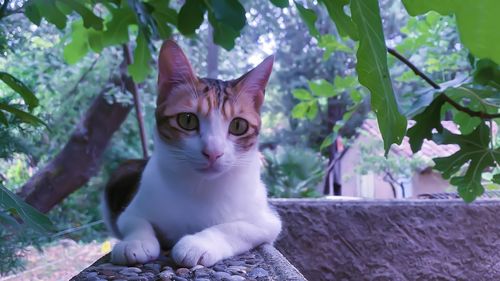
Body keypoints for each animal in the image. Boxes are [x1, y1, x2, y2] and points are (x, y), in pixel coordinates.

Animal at [101, 40, 282, 266]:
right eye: (187, 120)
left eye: (238, 125)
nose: (213, 152)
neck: (200, 186)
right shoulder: (131, 210)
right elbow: (135, 221)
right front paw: (135, 242)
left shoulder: (267, 221)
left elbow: (234, 227)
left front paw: (198, 243)